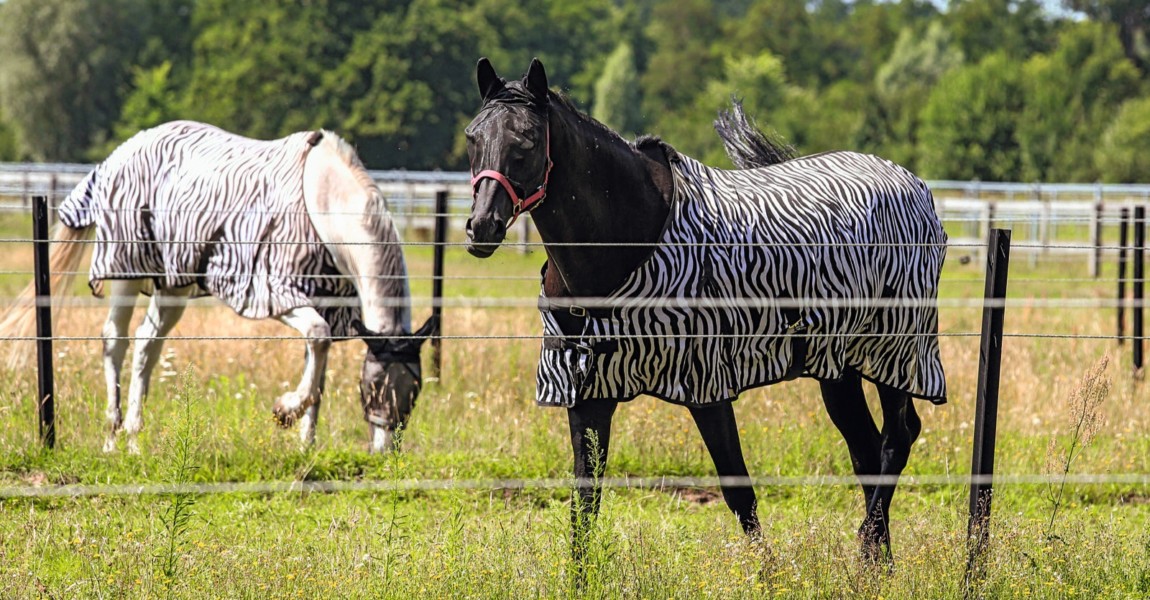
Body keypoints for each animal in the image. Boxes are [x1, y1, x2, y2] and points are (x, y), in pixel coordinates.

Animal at [2, 120, 432, 448]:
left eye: (413, 392)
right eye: (373, 388)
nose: (385, 453)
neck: (320, 203)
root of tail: (118, 154)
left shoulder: (326, 304)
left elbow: (319, 370)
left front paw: (306, 446)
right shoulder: (274, 293)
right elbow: (319, 337)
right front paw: (285, 411)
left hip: (172, 286)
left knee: (146, 344)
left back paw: (133, 438)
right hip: (127, 268)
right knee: (115, 341)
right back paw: (113, 433)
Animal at [462, 58, 947, 558]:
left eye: (527, 141)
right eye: (473, 137)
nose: (482, 227)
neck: (629, 237)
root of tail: (915, 186)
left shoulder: (707, 383)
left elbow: (739, 492)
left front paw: (768, 571)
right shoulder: (587, 391)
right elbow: (585, 502)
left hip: (897, 352)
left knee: (897, 439)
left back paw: (869, 542)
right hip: (838, 366)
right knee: (866, 449)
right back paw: (876, 561)